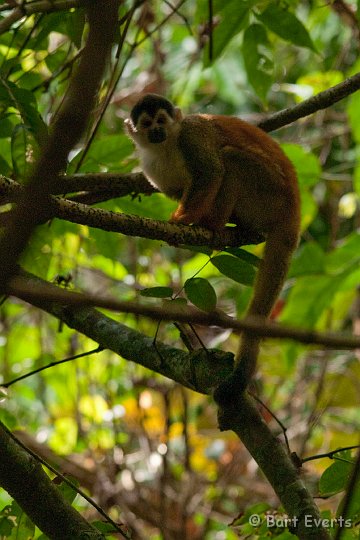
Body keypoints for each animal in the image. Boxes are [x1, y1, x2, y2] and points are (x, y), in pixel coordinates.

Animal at [125, 93, 300, 398]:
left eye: (161, 120)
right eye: (146, 124)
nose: (157, 131)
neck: (167, 145)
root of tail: (293, 212)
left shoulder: (192, 134)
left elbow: (210, 172)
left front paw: (181, 221)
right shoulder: (150, 166)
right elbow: (180, 190)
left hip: (271, 194)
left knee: (230, 157)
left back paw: (214, 224)